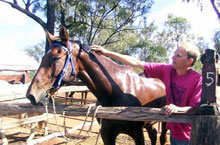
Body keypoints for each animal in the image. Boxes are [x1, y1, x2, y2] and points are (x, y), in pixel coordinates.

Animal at [26, 26, 167, 145]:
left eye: (56, 57)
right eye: (43, 57)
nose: (31, 95)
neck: (117, 93)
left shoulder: (137, 134)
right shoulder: (106, 134)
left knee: (161, 137)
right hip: (150, 123)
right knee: (154, 135)